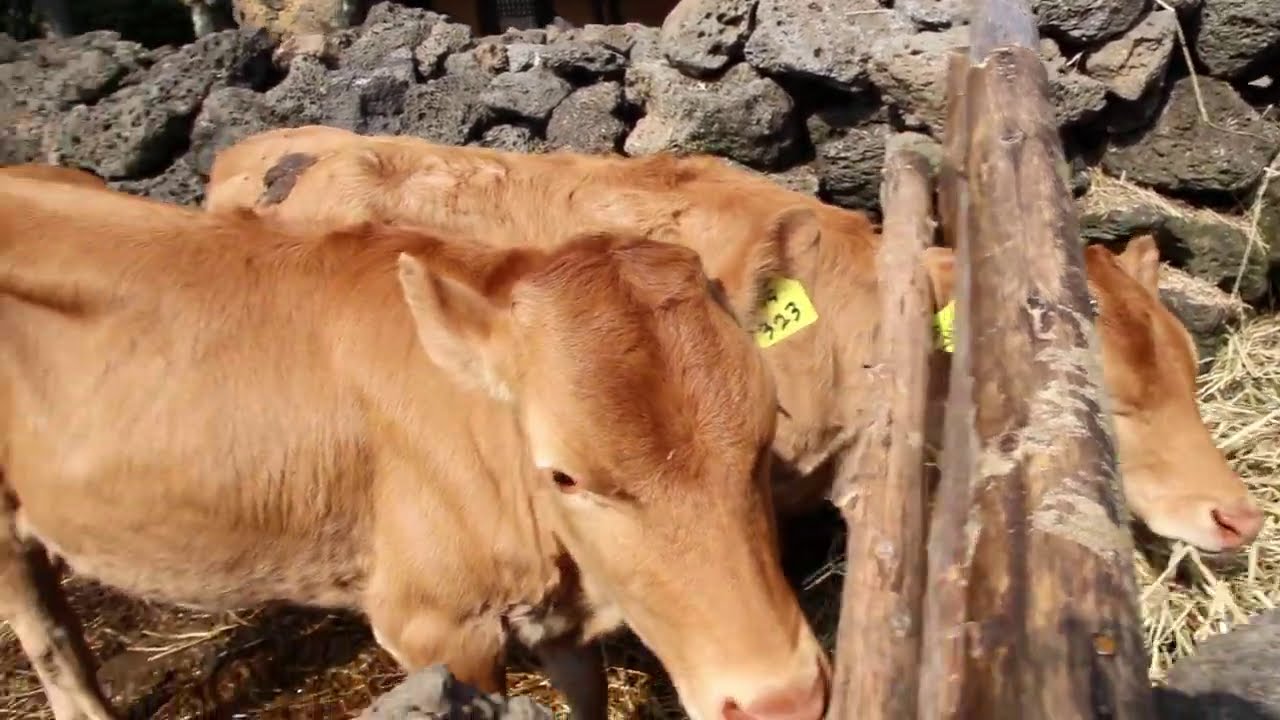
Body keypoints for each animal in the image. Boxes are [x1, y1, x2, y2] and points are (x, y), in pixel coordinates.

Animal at [0, 174, 830, 720]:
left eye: (765, 433)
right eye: (564, 475)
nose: (784, 699)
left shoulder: (556, 619)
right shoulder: (433, 627)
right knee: (51, 646)